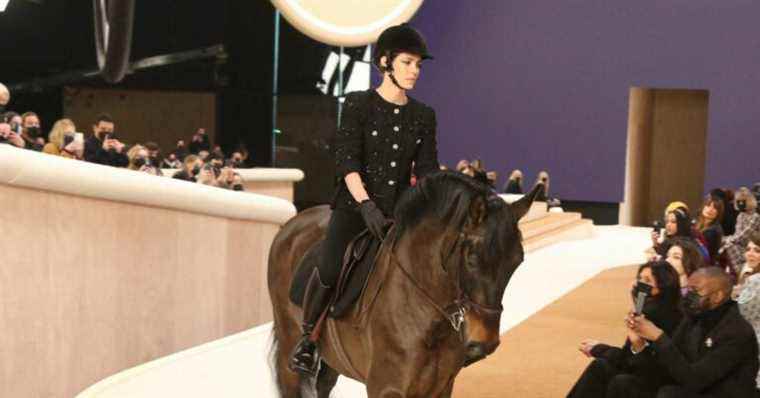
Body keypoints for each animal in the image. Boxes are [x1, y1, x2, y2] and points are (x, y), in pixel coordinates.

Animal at [268, 172, 540, 398]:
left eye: (517, 262)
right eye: (471, 258)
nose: (485, 343)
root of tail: (291, 225)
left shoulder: (441, 388)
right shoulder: (386, 388)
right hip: (289, 346)